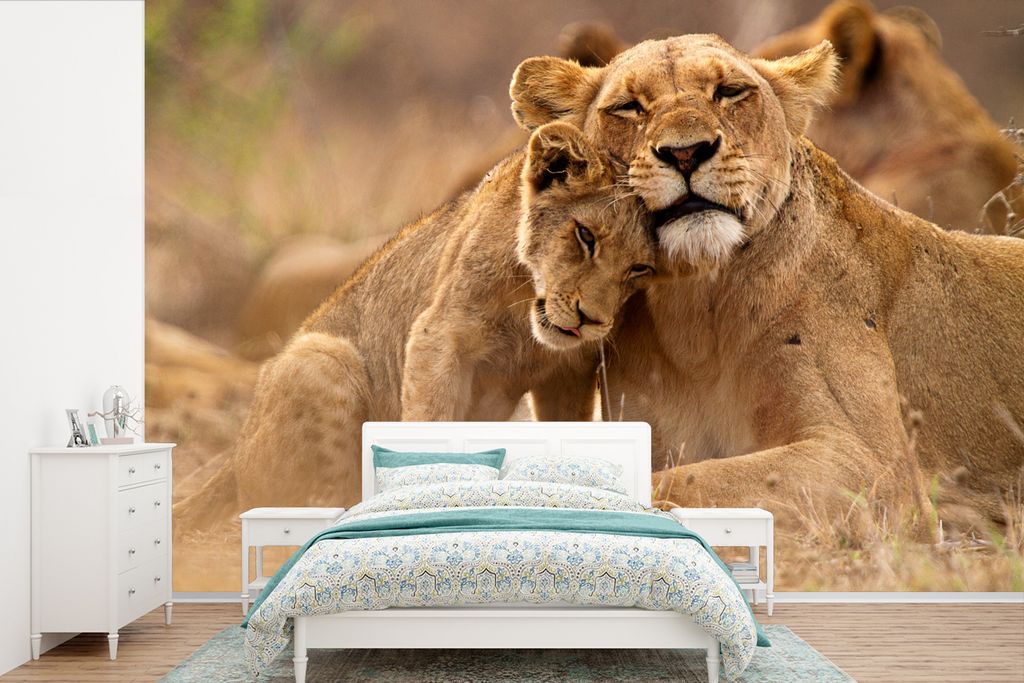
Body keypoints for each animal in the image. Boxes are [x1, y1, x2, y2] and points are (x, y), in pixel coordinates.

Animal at [174, 122, 657, 530]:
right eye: (585, 236)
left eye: (640, 268)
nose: (591, 320)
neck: (526, 315)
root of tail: (235, 455)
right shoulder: (437, 337)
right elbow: (430, 423)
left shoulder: (569, 371)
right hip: (322, 357)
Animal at [510, 34, 1024, 535]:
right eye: (629, 107)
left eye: (730, 92)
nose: (685, 152)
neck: (698, 315)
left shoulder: (877, 468)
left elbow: (682, 482)